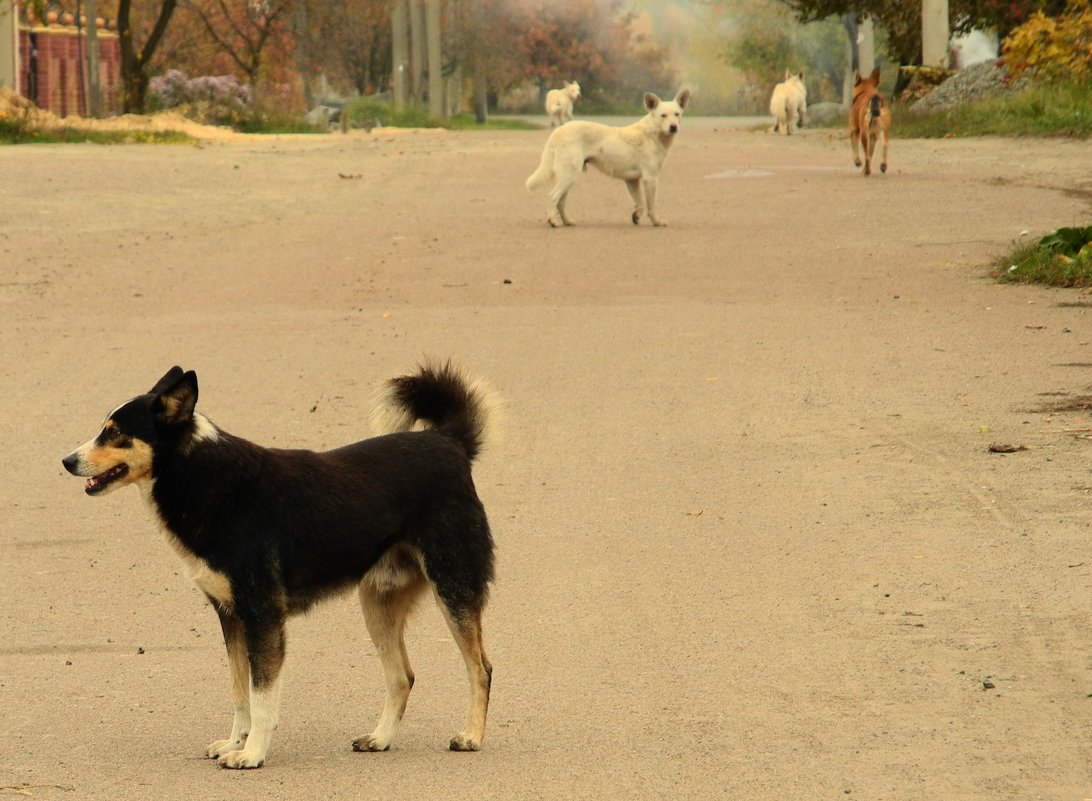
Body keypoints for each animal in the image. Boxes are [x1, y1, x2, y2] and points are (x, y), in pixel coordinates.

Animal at [61, 364, 497, 772]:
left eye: (116, 433)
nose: (66, 461)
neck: (207, 479)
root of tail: (449, 440)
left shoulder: (262, 616)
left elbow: (261, 697)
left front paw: (252, 754)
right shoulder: (231, 616)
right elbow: (240, 694)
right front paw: (235, 743)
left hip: (452, 588)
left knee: (481, 669)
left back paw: (471, 736)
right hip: (378, 604)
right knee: (402, 677)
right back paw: (380, 738)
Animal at [521, 90, 690, 229]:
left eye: (677, 114)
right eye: (663, 115)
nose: (673, 127)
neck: (652, 133)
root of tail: (558, 130)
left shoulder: (632, 180)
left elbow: (639, 202)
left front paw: (636, 216)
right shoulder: (651, 178)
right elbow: (651, 205)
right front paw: (657, 222)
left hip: (568, 177)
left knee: (561, 202)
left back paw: (567, 221)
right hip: (569, 175)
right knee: (553, 197)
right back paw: (553, 221)